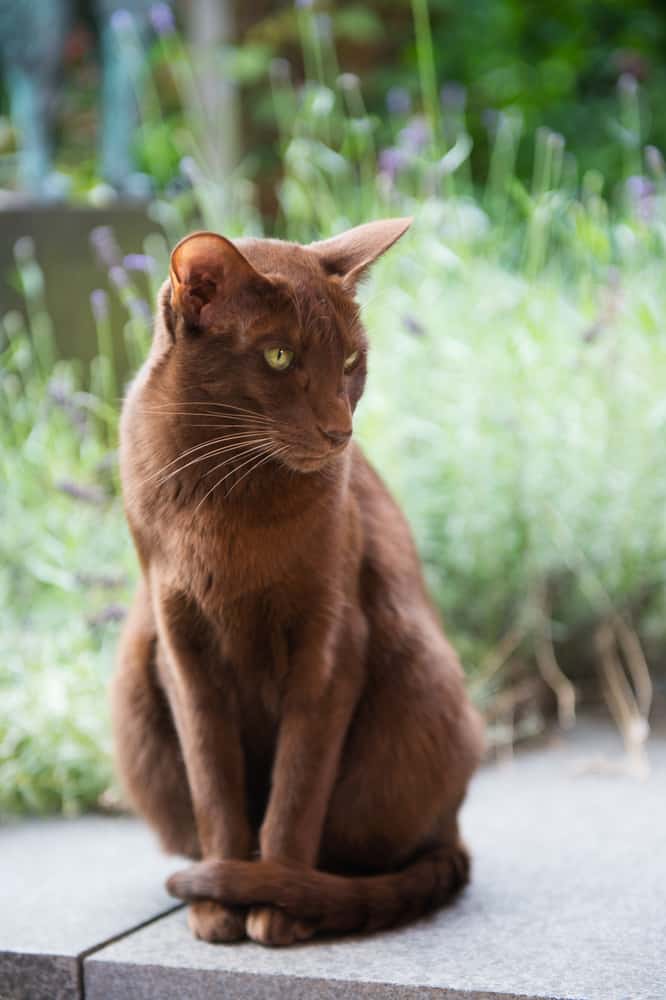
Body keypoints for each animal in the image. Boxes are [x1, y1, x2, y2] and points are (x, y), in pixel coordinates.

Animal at [110, 219, 482, 944]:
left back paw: (305, 892)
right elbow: (214, 788)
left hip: (423, 672)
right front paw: (219, 909)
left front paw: (276, 905)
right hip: (135, 680)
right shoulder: (181, 647)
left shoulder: (331, 646)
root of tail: (456, 832)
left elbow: (296, 791)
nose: (341, 431)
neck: (223, 495)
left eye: (351, 362)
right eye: (280, 357)